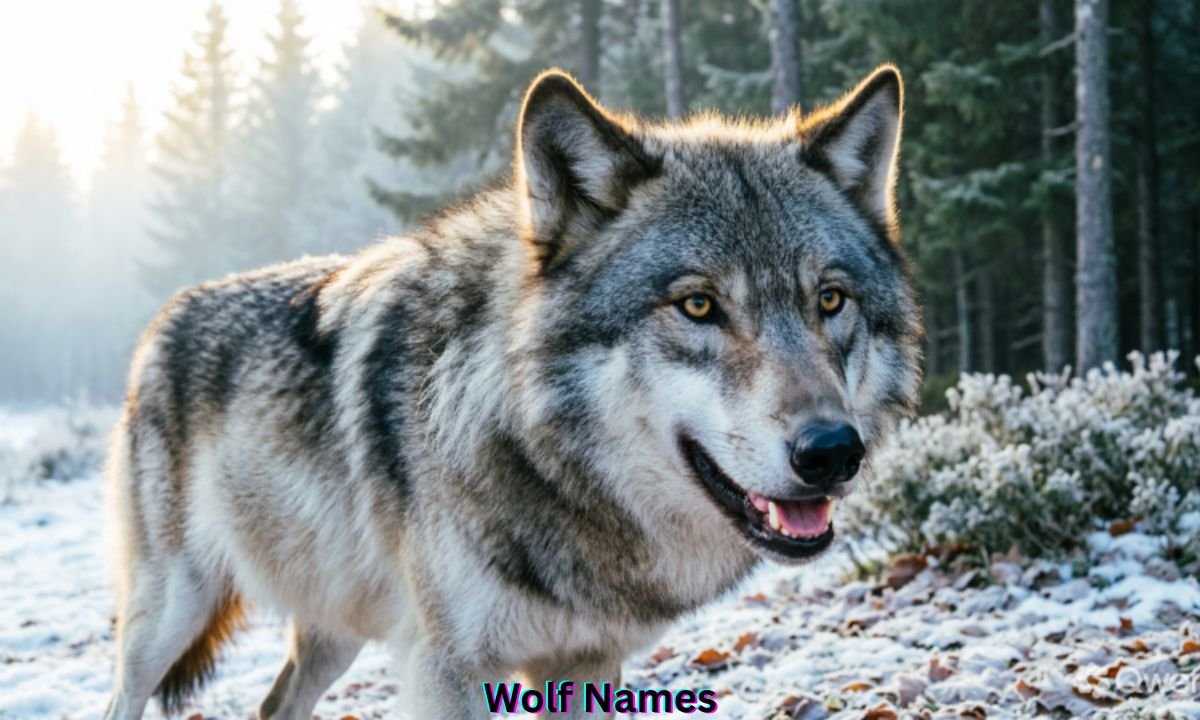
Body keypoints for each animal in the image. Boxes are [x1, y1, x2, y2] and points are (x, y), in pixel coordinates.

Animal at [104, 65, 921, 719]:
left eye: (830, 301)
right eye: (697, 306)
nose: (832, 452)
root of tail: (161, 322)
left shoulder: (587, 661)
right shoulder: (445, 668)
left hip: (334, 630)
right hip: (169, 616)